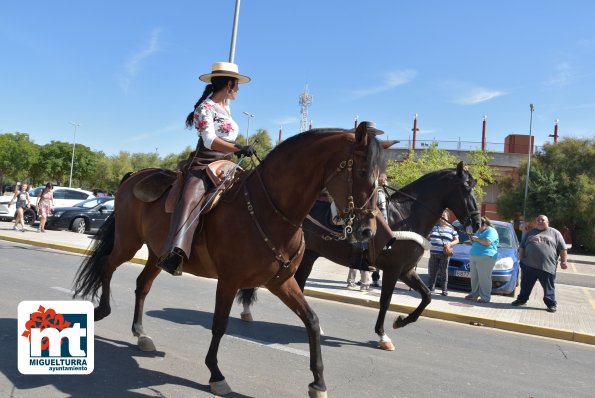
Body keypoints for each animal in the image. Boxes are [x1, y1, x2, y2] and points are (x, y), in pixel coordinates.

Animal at [72, 123, 388, 396]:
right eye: (362, 171)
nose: (367, 230)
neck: (271, 209)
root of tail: (133, 177)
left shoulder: (282, 282)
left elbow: (311, 320)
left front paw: (318, 382)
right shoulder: (229, 280)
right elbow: (220, 324)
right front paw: (215, 374)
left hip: (156, 253)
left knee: (142, 284)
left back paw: (140, 334)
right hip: (128, 242)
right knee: (107, 265)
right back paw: (102, 310)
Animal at [237, 160, 480, 350]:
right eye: (466, 188)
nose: (478, 223)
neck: (406, 216)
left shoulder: (406, 270)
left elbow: (427, 296)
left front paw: (401, 321)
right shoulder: (392, 270)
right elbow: (385, 301)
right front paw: (382, 335)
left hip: (308, 256)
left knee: (299, 284)